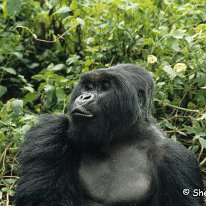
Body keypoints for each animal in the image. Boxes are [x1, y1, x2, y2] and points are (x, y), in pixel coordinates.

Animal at [15, 64, 204, 206]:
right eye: (88, 87)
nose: (84, 97)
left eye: (105, 86)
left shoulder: (176, 159)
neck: (121, 138)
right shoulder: (50, 131)